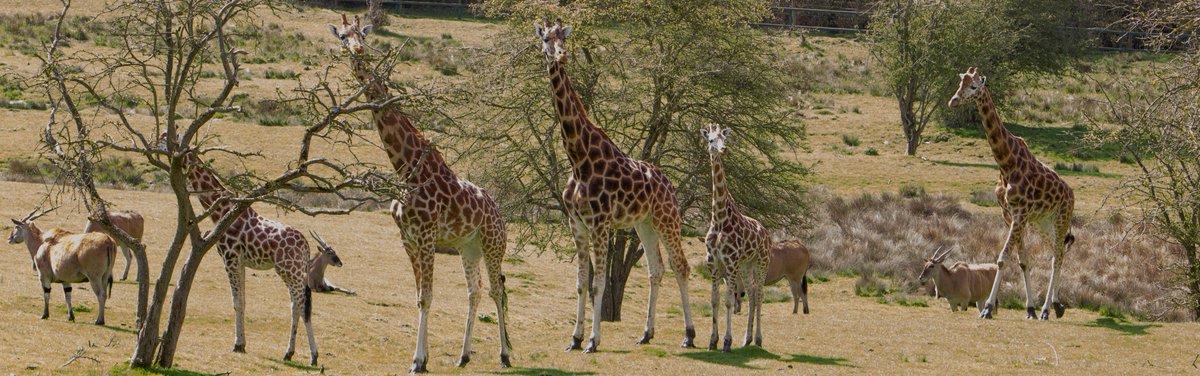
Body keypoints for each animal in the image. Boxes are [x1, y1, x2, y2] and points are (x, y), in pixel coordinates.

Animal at [169, 137, 321, 362]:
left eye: (165, 137)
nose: (160, 143)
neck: (222, 211)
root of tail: (306, 246)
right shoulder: (240, 261)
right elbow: (243, 300)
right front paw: (242, 343)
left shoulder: (229, 258)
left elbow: (237, 301)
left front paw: (237, 344)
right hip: (292, 272)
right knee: (295, 304)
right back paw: (289, 353)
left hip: (289, 270)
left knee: (302, 305)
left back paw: (312, 355)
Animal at [328, 14, 511, 372]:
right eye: (342, 35)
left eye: (362, 35)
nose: (357, 49)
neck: (406, 169)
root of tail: (499, 212)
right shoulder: (408, 239)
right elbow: (418, 297)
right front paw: (421, 358)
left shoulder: (426, 237)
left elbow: (427, 296)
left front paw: (418, 361)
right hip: (468, 247)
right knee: (475, 291)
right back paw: (464, 355)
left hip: (493, 243)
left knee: (497, 290)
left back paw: (506, 354)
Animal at [532, 18, 696, 350]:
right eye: (545, 39)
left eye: (563, 38)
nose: (560, 56)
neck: (578, 157)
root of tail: (670, 185)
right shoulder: (576, 223)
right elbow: (581, 283)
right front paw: (575, 338)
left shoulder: (600, 222)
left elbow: (598, 285)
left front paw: (593, 341)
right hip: (645, 223)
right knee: (656, 269)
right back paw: (646, 333)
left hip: (667, 218)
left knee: (681, 266)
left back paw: (690, 335)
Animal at [700, 123, 772, 350]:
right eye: (711, 140)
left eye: (725, 139)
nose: (723, 150)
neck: (719, 218)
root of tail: (766, 232)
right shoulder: (713, 263)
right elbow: (714, 300)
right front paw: (712, 341)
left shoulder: (730, 263)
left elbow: (729, 301)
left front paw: (726, 342)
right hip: (746, 266)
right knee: (751, 294)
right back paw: (747, 339)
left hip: (761, 263)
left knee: (760, 295)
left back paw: (758, 339)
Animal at [945, 67, 1080, 319]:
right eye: (960, 83)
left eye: (974, 86)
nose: (953, 101)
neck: (1006, 163)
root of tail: (1071, 194)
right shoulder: (1009, 214)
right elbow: (1023, 261)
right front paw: (1029, 309)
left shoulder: (1020, 213)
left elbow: (1002, 259)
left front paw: (988, 308)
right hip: (1042, 222)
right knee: (1058, 252)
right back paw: (1056, 305)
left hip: (1061, 218)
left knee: (1057, 257)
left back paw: (1047, 309)